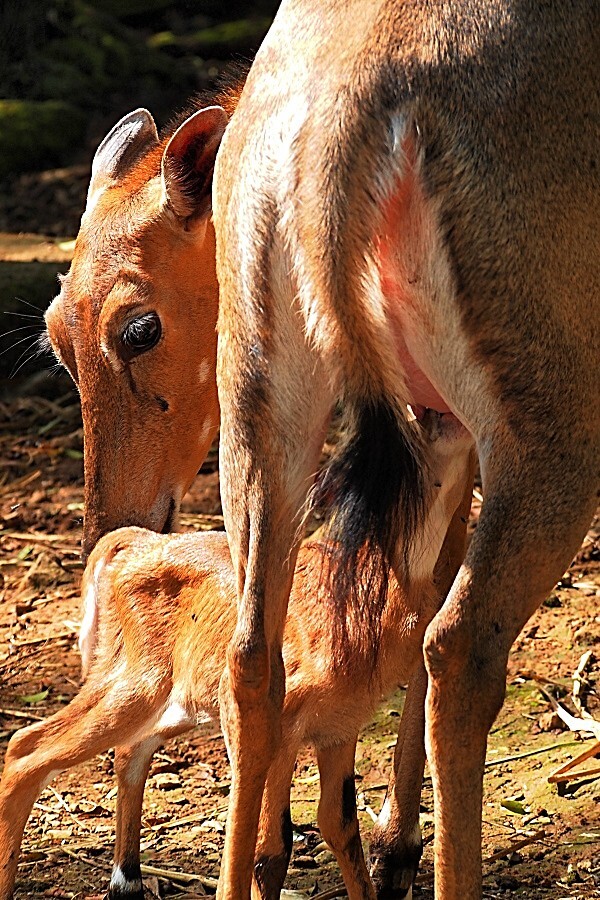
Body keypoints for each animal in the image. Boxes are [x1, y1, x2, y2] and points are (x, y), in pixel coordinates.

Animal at [0, 414, 476, 900]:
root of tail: (132, 543)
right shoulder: (281, 725)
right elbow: (272, 848)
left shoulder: (338, 729)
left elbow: (338, 826)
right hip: (134, 685)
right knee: (26, 747)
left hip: (176, 702)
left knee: (126, 750)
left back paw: (127, 881)